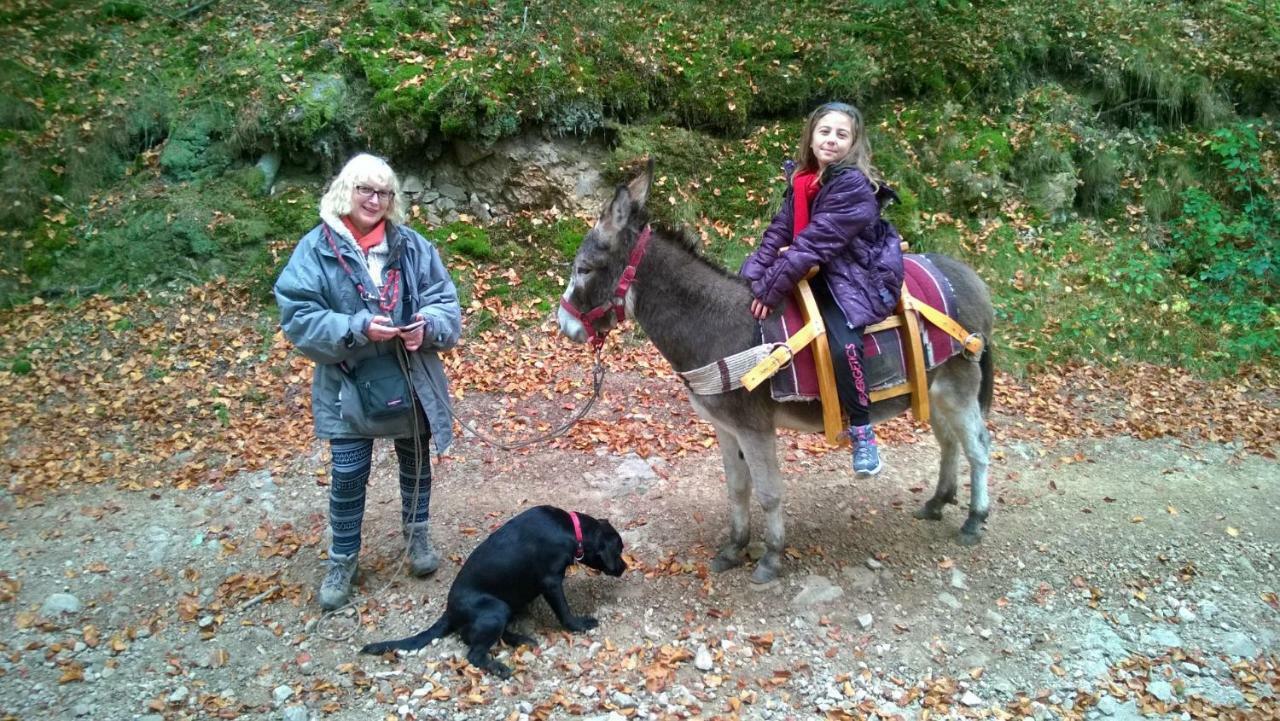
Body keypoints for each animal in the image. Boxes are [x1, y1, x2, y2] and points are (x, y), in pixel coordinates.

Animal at [360, 507, 624, 676]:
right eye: (620, 550)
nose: (624, 567)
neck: (572, 530)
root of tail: (449, 612)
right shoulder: (551, 581)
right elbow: (565, 613)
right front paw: (580, 625)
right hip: (497, 608)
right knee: (474, 654)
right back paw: (499, 667)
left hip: (505, 607)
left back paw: (521, 639)